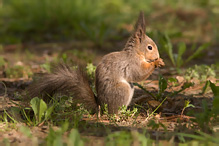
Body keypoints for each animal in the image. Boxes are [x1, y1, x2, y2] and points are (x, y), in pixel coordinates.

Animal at [27, 11, 164, 114]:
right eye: (150, 47)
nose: (158, 56)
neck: (136, 53)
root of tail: (100, 106)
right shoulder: (132, 63)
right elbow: (139, 73)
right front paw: (156, 63)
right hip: (122, 90)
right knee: (112, 112)